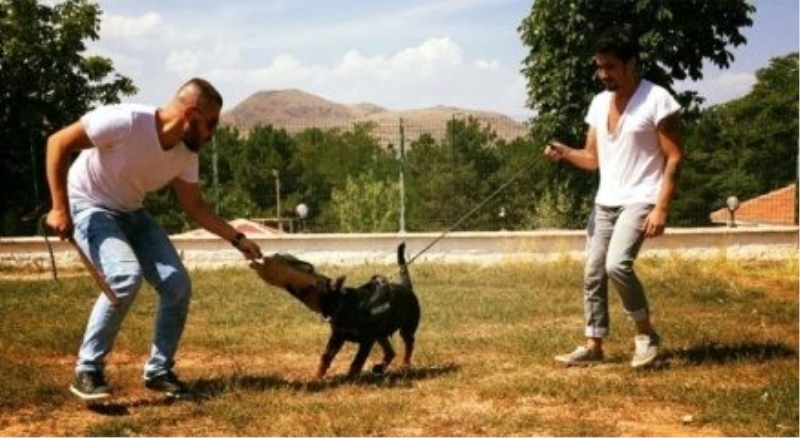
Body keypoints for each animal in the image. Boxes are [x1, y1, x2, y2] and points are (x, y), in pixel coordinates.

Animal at [252, 243, 422, 380]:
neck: (344, 304)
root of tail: (407, 287)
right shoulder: (337, 336)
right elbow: (325, 357)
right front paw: (317, 377)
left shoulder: (366, 340)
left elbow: (357, 362)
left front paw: (349, 379)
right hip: (380, 333)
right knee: (390, 351)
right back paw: (379, 368)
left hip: (406, 328)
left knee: (408, 345)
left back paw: (405, 365)